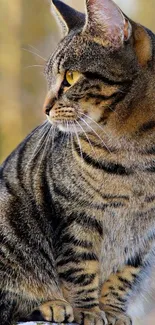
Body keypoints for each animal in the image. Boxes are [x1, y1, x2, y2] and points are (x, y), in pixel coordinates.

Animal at [0, 0, 155, 322]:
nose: (44, 108)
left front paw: (112, 310)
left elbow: (124, 274)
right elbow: (80, 267)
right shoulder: (76, 214)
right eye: (49, 79)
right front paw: (89, 311)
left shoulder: (145, 234)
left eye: (70, 78)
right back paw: (52, 304)